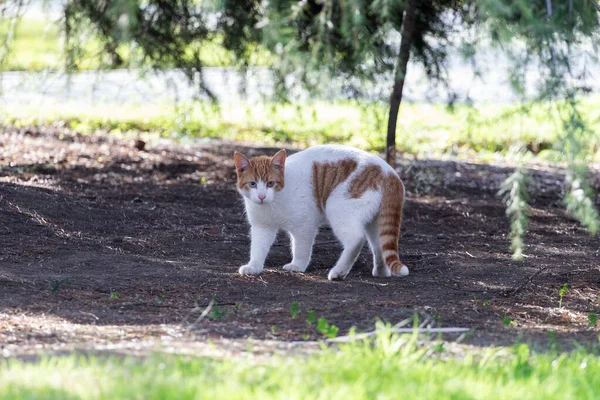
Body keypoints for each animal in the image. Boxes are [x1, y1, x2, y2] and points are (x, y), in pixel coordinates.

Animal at [232, 145, 410, 282]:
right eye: (252, 184)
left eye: (270, 183)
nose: (262, 196)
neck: (273, 202)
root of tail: (390, 173)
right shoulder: (262, 227)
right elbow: (258, 248)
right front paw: (254, 266)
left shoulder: (304, 226)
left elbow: (301, 249)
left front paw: (297, 266)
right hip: (375, 223)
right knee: (379, 246)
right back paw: (381, 272)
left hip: (338, 208)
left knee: (356, 240)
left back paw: (338, 272)